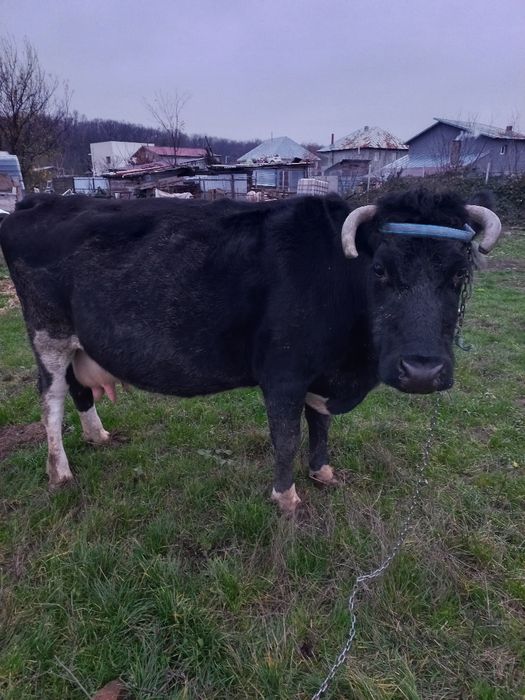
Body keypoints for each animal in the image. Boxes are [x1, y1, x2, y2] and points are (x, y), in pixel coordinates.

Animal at [0, 190, 501, 514]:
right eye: (379, 269)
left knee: (79, 390)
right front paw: (286, 498)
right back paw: (60, 472)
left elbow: (320, 424)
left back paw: (97, 436)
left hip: (78, 341)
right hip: (48, 333)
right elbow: (287, 436)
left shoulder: (320, 373)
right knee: (51, 399)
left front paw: (322, 472)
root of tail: (39, 201)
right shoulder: (283, 372)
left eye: (459, 274)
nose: (422, 371)